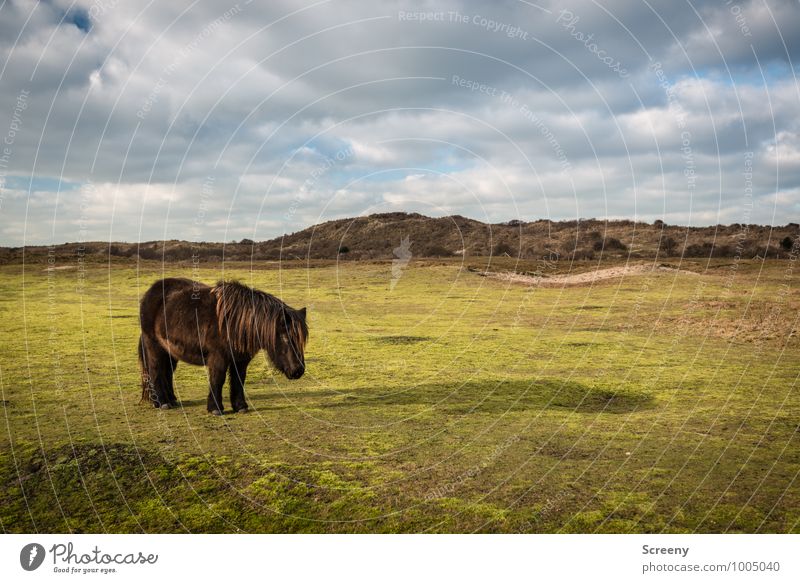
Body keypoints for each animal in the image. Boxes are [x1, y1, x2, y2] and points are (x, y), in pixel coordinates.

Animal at [138, 278, 306, 416]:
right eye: (285, 337)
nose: (298, 370)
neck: (236, 323)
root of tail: (150, 292)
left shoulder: (240, 361)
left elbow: (239, 380)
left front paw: (240, 406)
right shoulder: (218, 358)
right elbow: (218, 379)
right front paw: (215, 408)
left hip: (170, 351)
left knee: (167, 372)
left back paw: (171, 400)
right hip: (154, 346)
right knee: (155, 370)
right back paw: (162, 402)